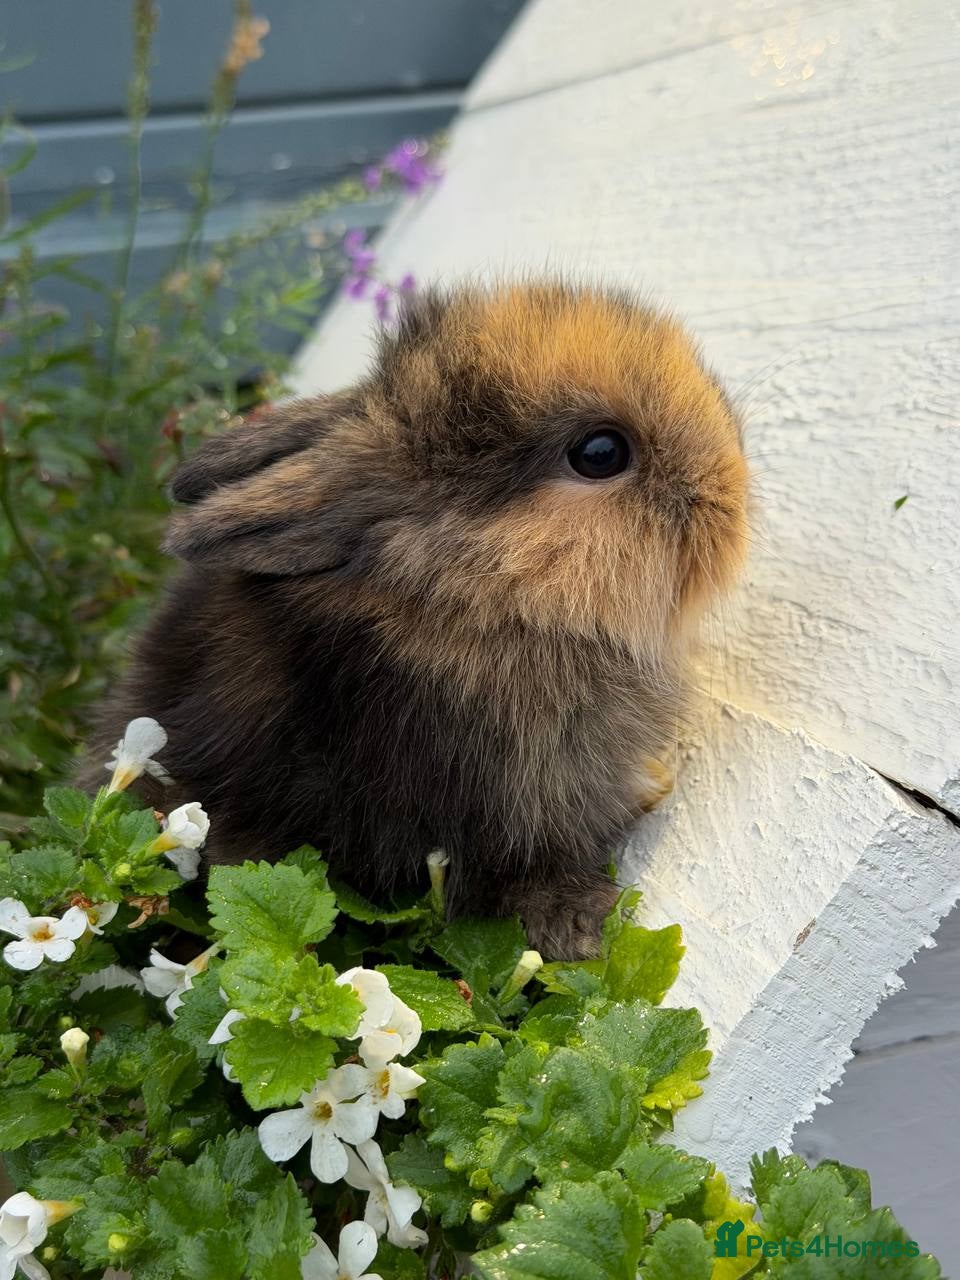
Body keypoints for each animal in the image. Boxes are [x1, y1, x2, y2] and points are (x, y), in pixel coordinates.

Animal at [85, 282, 749, 959]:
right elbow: (522, 876)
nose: (732, 489)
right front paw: (583, 930)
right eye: (600, 453)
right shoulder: (496, 809)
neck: (472, 591)